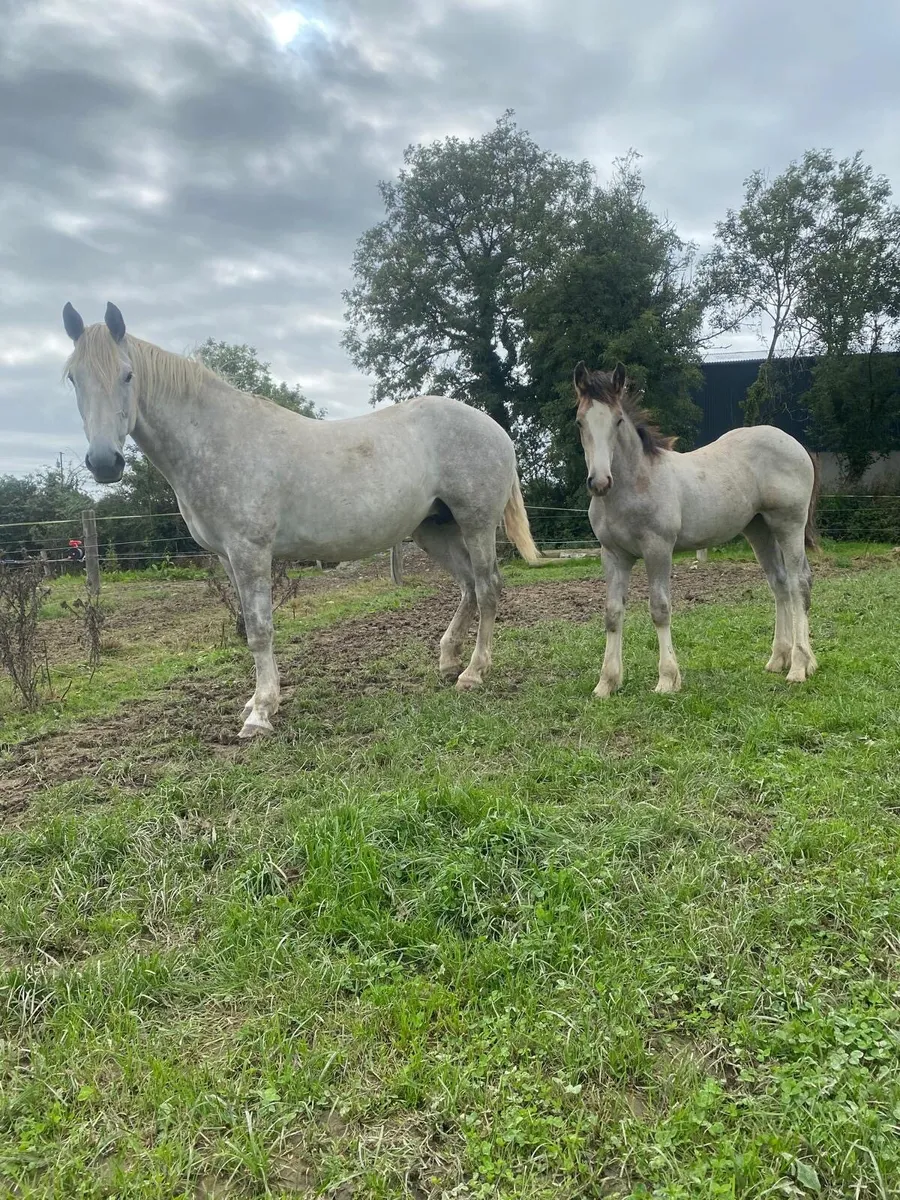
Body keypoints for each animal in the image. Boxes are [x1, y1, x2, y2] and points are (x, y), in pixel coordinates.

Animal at [61, 302, 541, 739]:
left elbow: (259, 630)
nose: (104, 463)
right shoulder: (228, 558)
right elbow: (251, 626)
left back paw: (473, 673)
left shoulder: (250, 551)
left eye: (127, 375)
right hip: (435, 530)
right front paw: (259, 701)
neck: (216, 439)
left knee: (487, 589)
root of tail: (496, 430)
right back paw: (447, 660)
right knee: (468, 588)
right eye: (72, 378)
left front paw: (260, 714)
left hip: (476, 524)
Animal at [573, 361, 818, 697]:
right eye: (580, 422)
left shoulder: (658, 549)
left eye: (618, 420)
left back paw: (799, 666)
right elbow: (612, 613)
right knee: (780, 584)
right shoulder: (613, 555)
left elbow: (660, 608)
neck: (635, 484)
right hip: (759, 530)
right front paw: (606, 683)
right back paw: (779, 660)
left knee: (798, 584)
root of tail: (795, 444)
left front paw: (667, 679)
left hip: (789, 525)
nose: (599, 482)